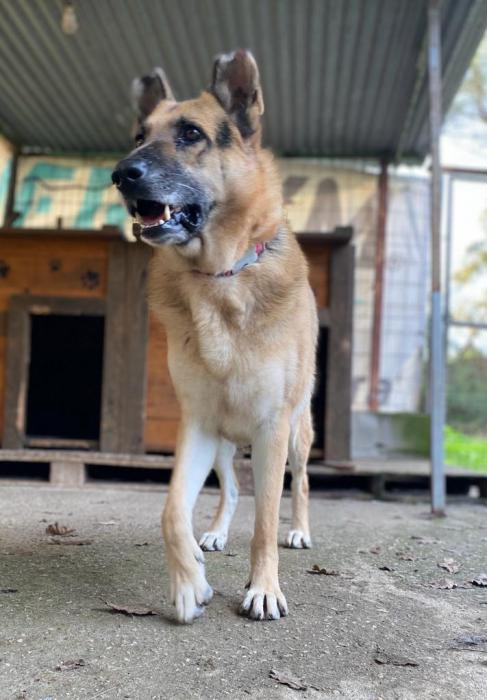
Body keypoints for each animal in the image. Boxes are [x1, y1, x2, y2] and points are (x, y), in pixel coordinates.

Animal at [112, 49, 318, 623]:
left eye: (190, 133)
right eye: (139, 135)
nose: (120, 175)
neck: (221, 278)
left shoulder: (273, 428)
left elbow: (266, 523)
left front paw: (264, 588)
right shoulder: (199, 426)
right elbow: (170, 511)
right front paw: (189, 584)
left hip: (297, 435)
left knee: (298, 485)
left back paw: (300, 531)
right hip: (225, 447)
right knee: (230, 492)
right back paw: (215, 534)